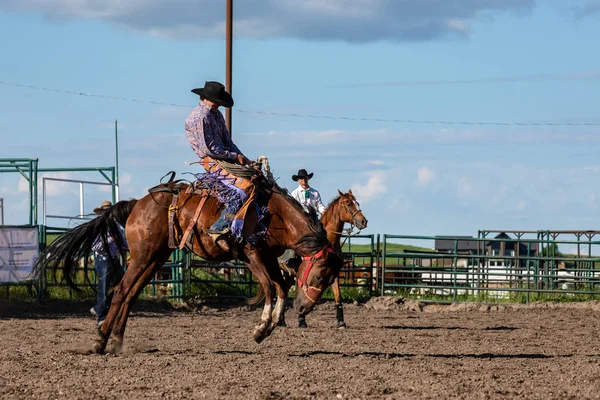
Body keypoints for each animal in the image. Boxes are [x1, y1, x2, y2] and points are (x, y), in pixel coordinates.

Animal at [37, 169, 344, 354]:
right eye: (319, 276)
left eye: (331, 279)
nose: (303, 309)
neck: (274, 213)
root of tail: (137, 203)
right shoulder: (252, 255)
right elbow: (271, 288)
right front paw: (261, 328)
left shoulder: (269, 257)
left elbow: (281, 287)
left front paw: (269, 327)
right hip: (142, 256)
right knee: (122, 291)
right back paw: (100, 341)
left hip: (156, 259)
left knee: (131, 294)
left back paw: (116, 341)